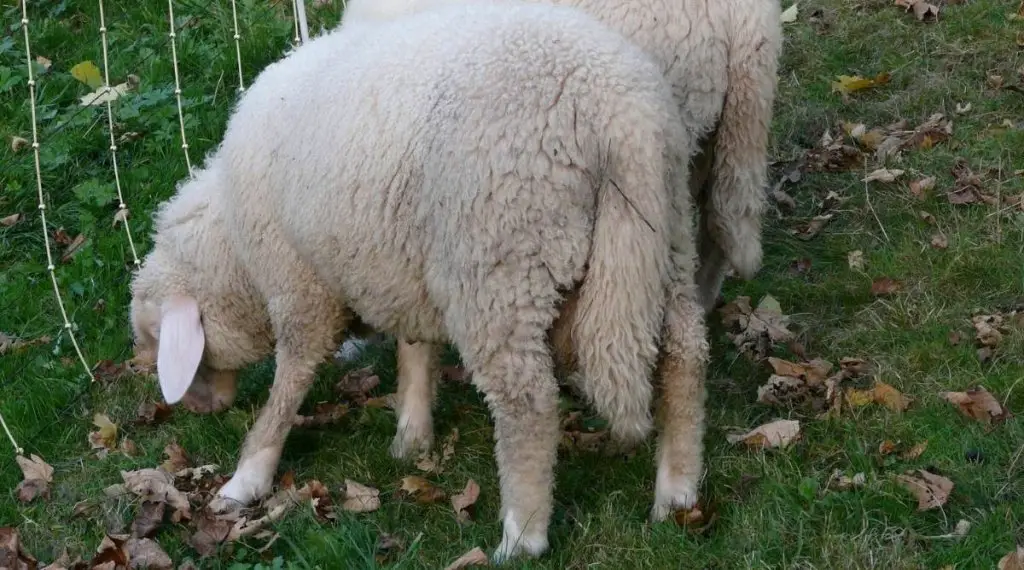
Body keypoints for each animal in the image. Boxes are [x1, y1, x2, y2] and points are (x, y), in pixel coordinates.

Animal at [128, 1, 708, 560]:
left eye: (157, 339)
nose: (196, 410)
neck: (234, 246)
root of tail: (619, 114)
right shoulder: (400, 267)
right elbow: (416, 348)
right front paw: (411, 434)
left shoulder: (300, 286)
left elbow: (290, 381)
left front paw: (247, 477)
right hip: (668, 235)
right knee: (684, 357)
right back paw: (677, 492)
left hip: (499, 264)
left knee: (529, 402)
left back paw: (522, 536)